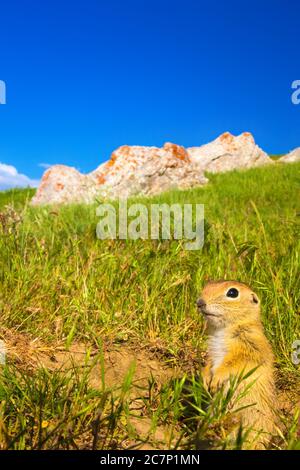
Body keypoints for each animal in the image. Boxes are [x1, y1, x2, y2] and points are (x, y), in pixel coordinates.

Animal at [197, 280, 278, 448]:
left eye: (232, 293)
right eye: (207, 284)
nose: (200, 302)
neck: (222, 329)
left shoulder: (249, 346)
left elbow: (233, 363)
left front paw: (216, 380)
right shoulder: (212, 351)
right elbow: (209, 362)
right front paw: (205, 379)